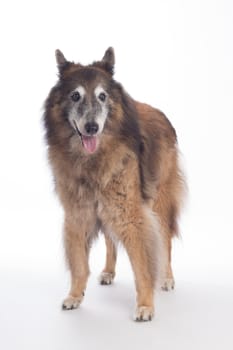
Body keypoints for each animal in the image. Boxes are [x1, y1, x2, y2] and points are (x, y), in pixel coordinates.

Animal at [43, 47, 186, 322]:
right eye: (75, 96)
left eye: (102, 96)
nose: (91, 127)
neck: (92, 159)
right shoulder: (78, 213)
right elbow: (79, 263)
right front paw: (75, 295)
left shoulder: (131, 214)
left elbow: (143, 266)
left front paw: (145, 305)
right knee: (111, 238)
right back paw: (109, 271)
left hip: (159, 203)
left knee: (165, 241)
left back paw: (167, 278)